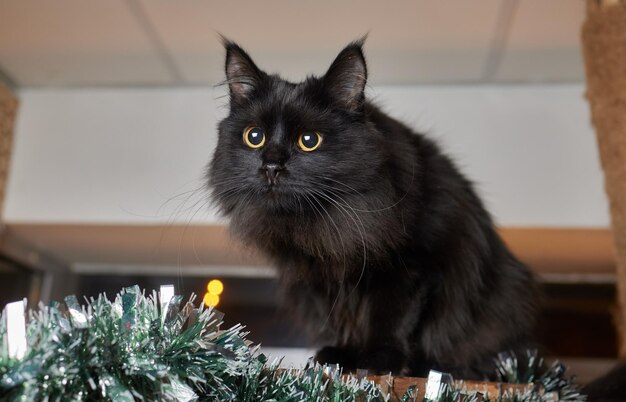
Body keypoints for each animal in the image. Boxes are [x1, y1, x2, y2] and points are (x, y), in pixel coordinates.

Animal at [207, 38, 532, 380]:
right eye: (254, 137)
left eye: (309, 140)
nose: (271, 166)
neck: (324, 223)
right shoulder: (322, 279)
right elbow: (343, 319)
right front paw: (343, 355)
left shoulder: (411, 265)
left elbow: (392, 317)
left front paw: (381, 359)